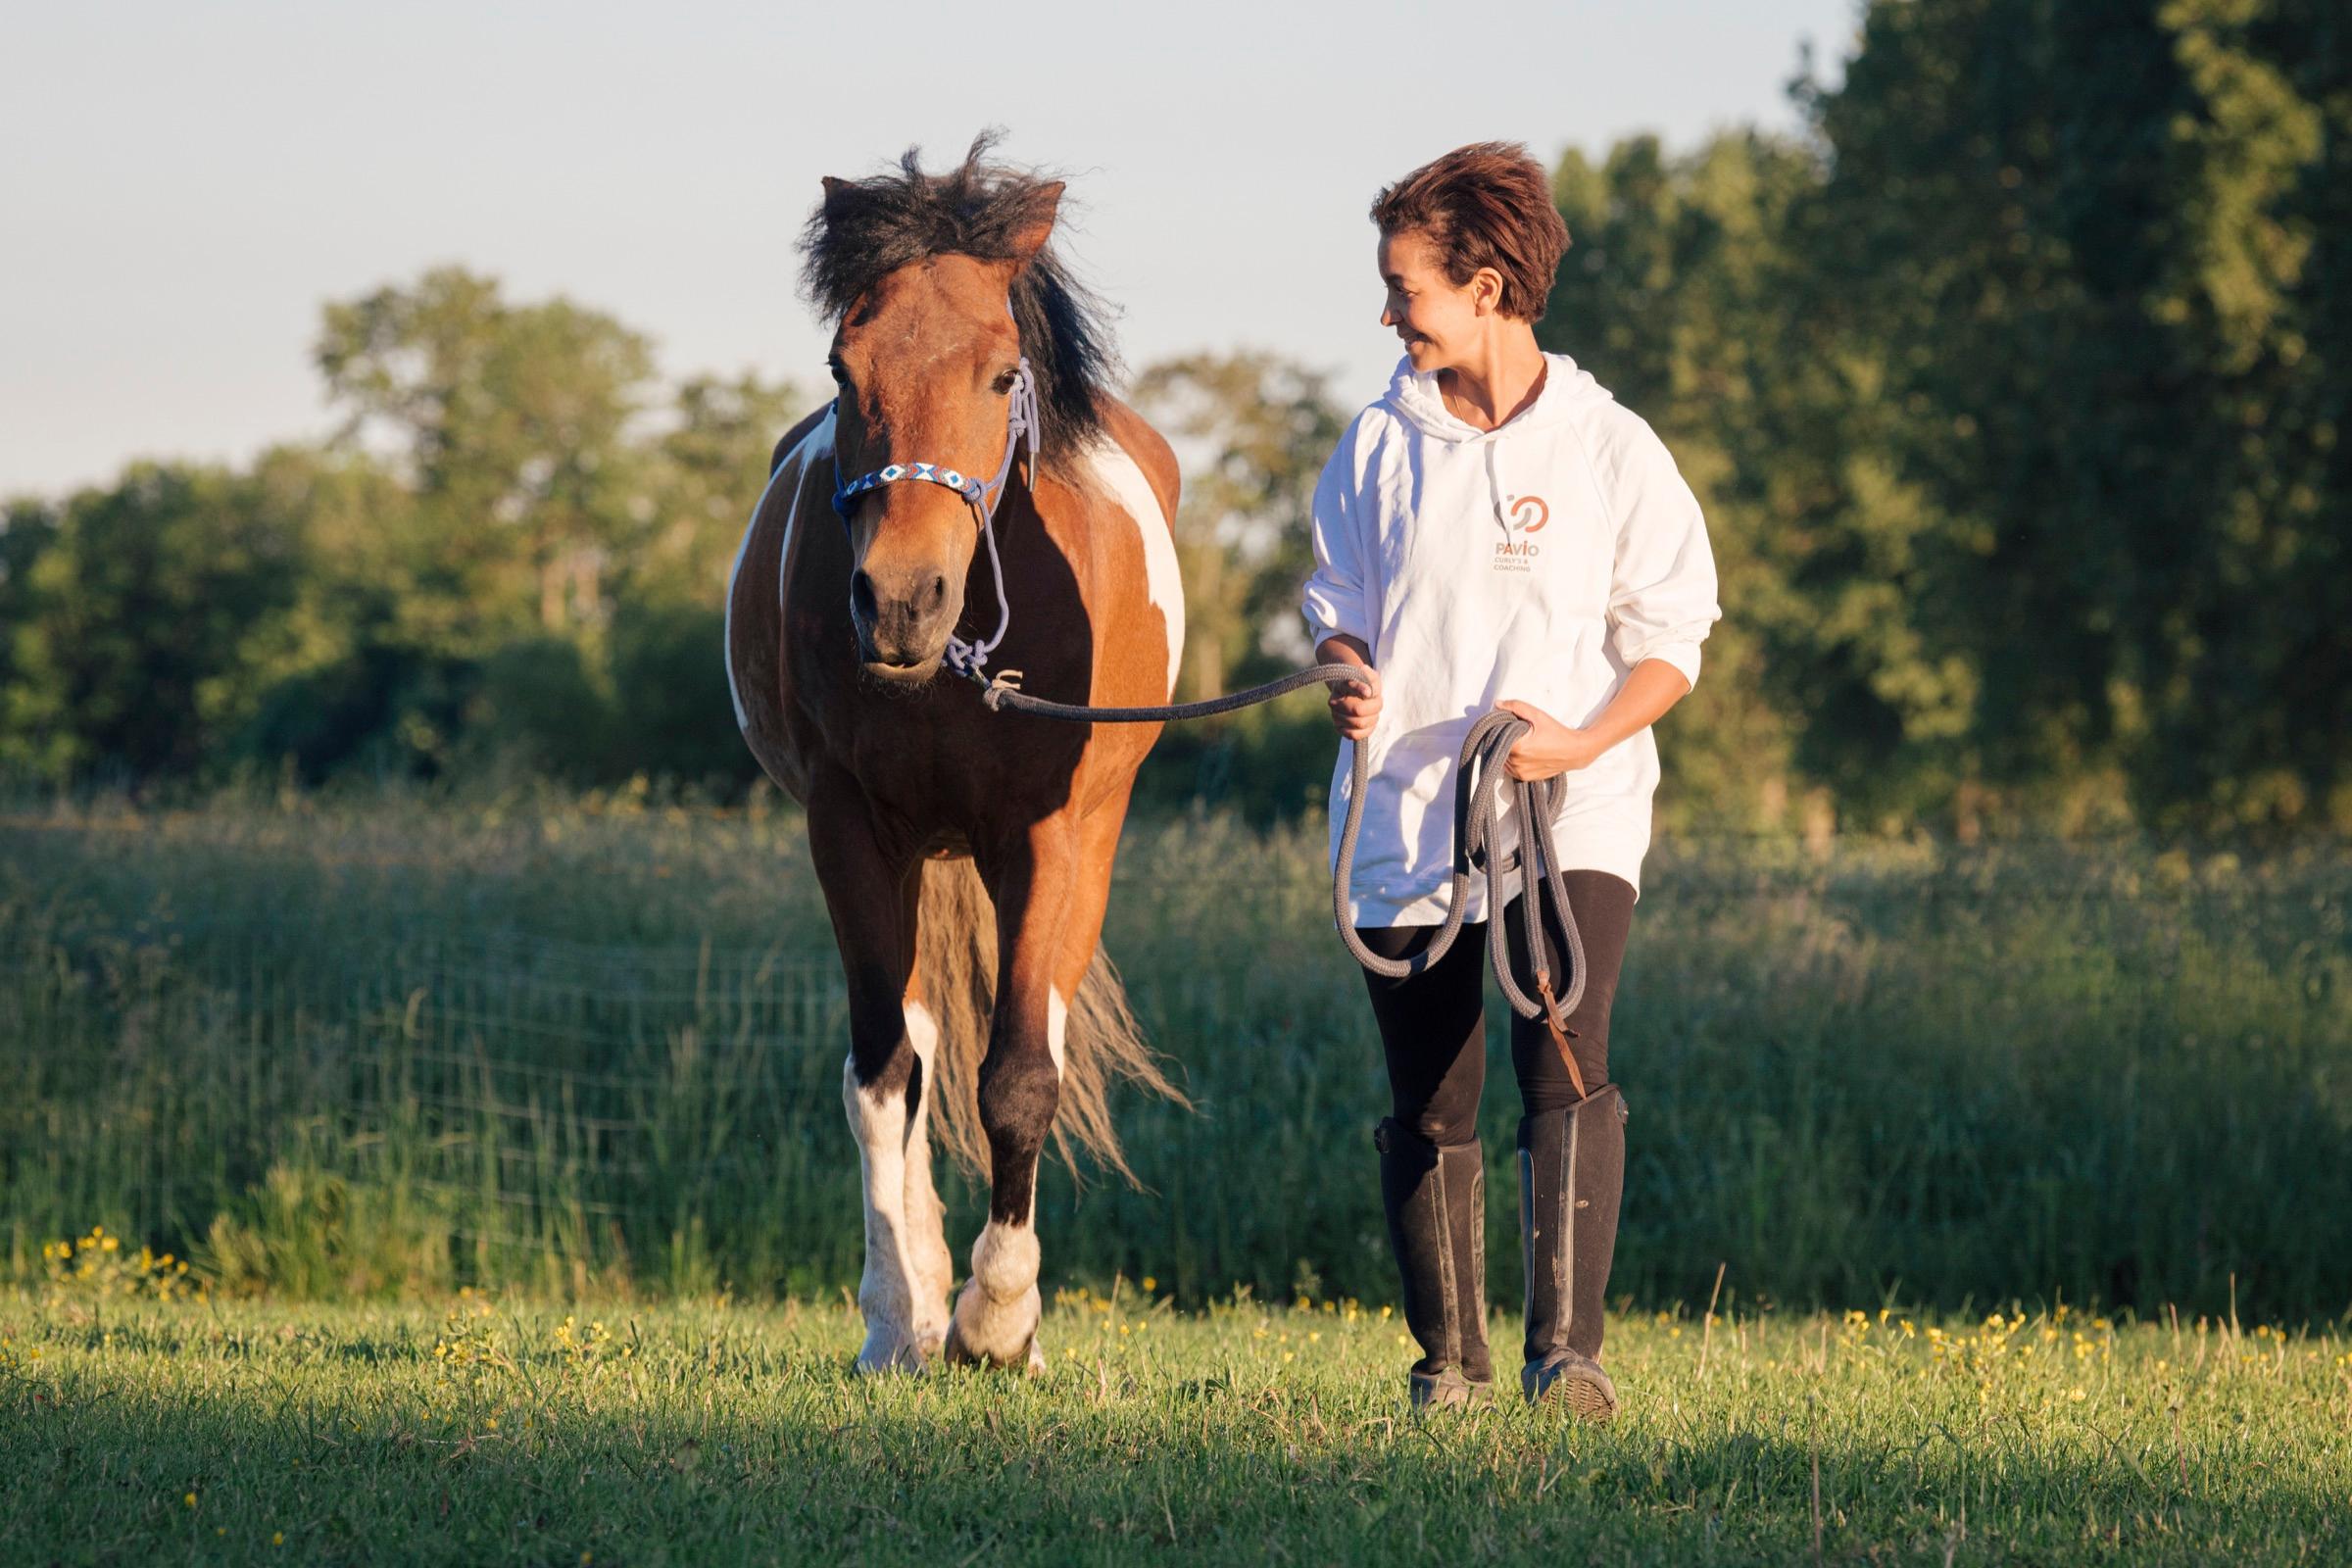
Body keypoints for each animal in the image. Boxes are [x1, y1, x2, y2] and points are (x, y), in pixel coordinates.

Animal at [724, 140, 1188, 1373]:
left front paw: (1001, 1319)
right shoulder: (849, 830)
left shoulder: (1045, 836)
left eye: (999, 375)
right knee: (920, 1050)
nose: (899, 600)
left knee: (1033, 1032)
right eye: (843, 367)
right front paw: (903, 1316)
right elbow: (884, 1074)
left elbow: (1021, 1074)